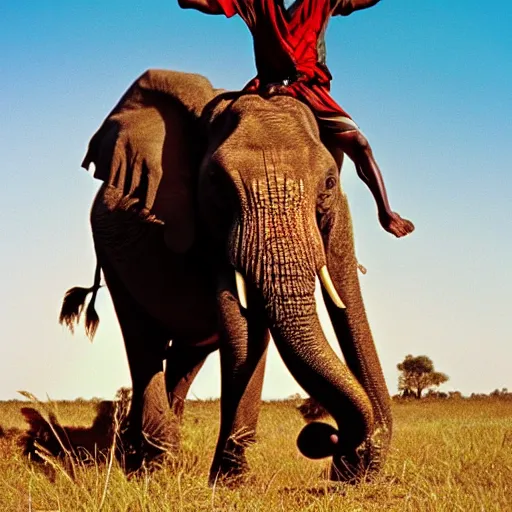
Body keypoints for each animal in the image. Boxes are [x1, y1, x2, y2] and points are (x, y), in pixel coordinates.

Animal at [60, 68, 394, 484]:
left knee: (186, 356)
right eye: (217, 183)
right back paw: (151, 464)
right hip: (109, 250)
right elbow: (241, 325)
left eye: (329, 183)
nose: (328, 442)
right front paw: (231, 481)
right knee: (142, 341)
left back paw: (157, 454)